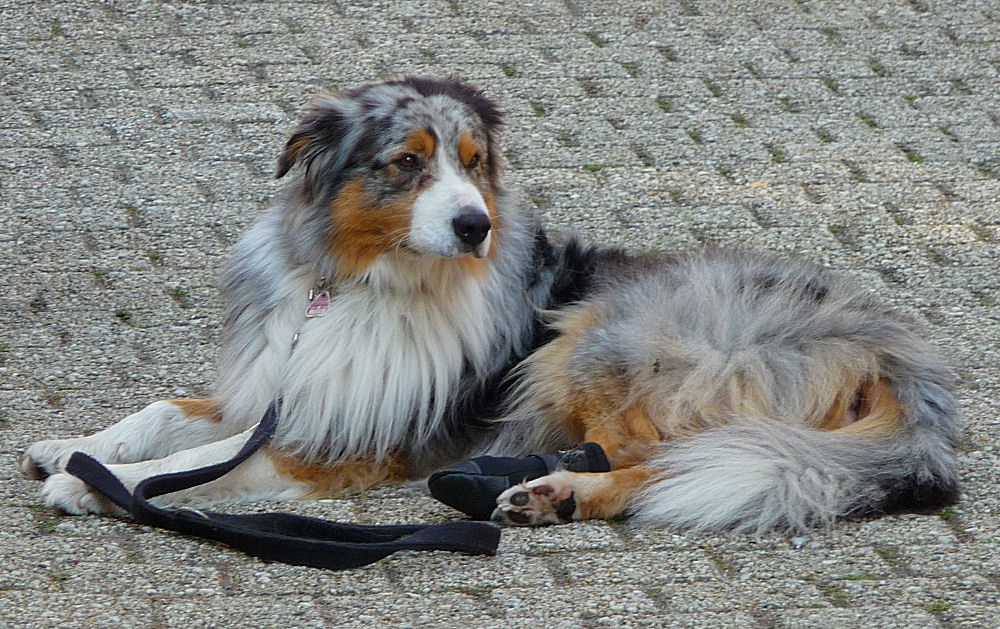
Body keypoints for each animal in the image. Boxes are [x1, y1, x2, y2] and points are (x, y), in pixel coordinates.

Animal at [21, 76, 960, 532]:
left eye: (474, 164)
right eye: (407, 163)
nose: (475, 225)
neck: (359, 284)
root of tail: (888, 342)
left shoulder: (337, 447)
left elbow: (194, 464)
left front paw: (99, 486)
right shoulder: (279, 390)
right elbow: (165, 413)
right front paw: (75, 446)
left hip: (600, 338)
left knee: (674, 461)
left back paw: (557, 494)